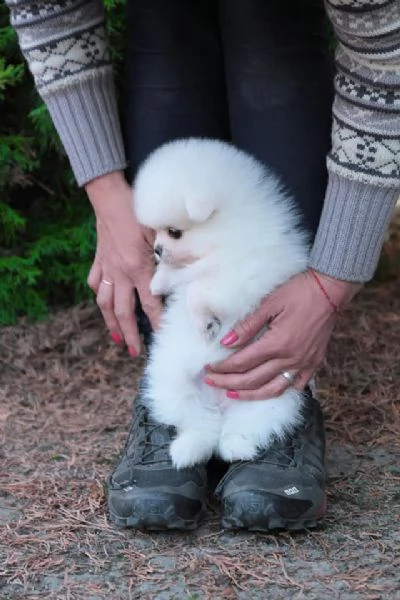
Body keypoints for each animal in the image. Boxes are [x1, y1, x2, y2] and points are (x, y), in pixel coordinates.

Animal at [133, 139, 308, 468]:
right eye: (158, 231)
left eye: (174, 231)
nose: (158, 249)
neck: (224, 239)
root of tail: (219, 404)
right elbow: (180, 277)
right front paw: (158, 282)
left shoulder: (245, 275)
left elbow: (199, 290)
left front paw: (206, 323)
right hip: (172, 385)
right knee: (199, 424)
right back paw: (187, 450)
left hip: (265, 399)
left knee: (237, 430)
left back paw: (237, 448)